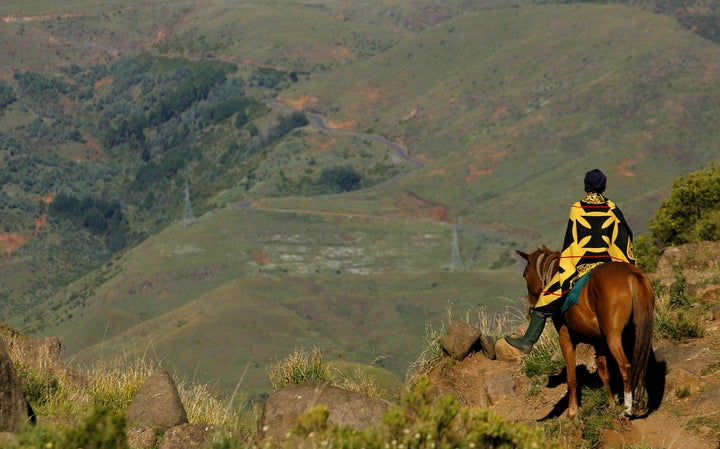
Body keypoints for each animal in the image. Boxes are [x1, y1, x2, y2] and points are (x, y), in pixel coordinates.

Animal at [516, 245, 656, 416]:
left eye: (525, 275)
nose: (530, 308)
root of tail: (631, 274)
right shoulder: (598, 342)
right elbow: (604, 373)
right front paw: (611, 404)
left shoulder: (566, 338)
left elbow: (571, 377)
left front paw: (572, 412)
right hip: (633, 333)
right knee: (640, 364)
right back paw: (638, 403)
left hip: (613, 336)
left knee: (626, 366)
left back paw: (627, 409)